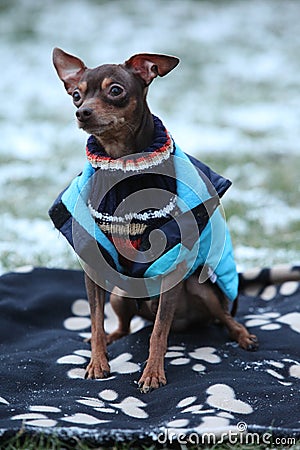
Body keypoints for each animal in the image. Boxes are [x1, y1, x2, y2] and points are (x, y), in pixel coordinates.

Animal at [49, 49, 258, 392]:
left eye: (115, 90)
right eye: (76, 95)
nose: (82, 112)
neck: (122, 166)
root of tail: (187, 326)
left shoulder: (171, 266)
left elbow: (159, 331)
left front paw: (152, 373)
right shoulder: (95, 266)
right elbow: (95, 319)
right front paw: (97, 362)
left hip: (201, 286)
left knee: (222, 318)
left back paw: (242, 335)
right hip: (121, 295)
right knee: (123, 326)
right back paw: (111, 338)